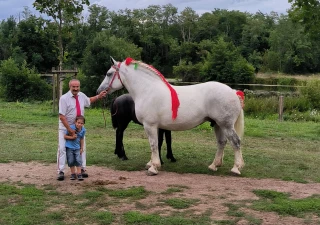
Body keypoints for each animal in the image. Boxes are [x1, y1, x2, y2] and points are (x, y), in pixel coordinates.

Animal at [97, 57, 245, 176]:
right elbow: (156, 144)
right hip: (218, 124)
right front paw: (152, 163)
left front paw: (154, 167)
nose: (99, 91)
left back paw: (236, 168)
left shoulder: (149, 125)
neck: (147, 91)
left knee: (236, 142)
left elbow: (153, 144)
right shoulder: (157, 127)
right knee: (222, 142)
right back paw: (214, 165)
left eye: (109, 73)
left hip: (226, 125)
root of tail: (233, 91)